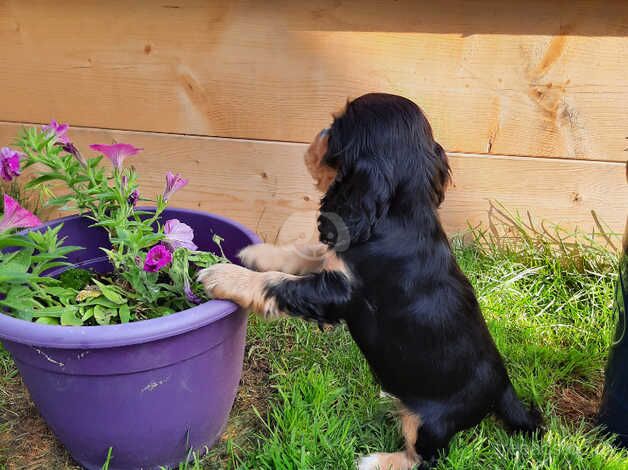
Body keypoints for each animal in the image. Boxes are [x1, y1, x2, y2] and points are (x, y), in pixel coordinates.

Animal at [199, 93, 544, 468]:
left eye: (336, 129)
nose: (319, 133)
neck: (400, 215)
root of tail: (503, 387)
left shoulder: (338, 292)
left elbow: (280, 282)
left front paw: (225, 275)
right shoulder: (335, 262)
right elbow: (304, 253)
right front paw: (258, 253)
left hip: (432, 423)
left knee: (427, 456)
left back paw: (377, 460)